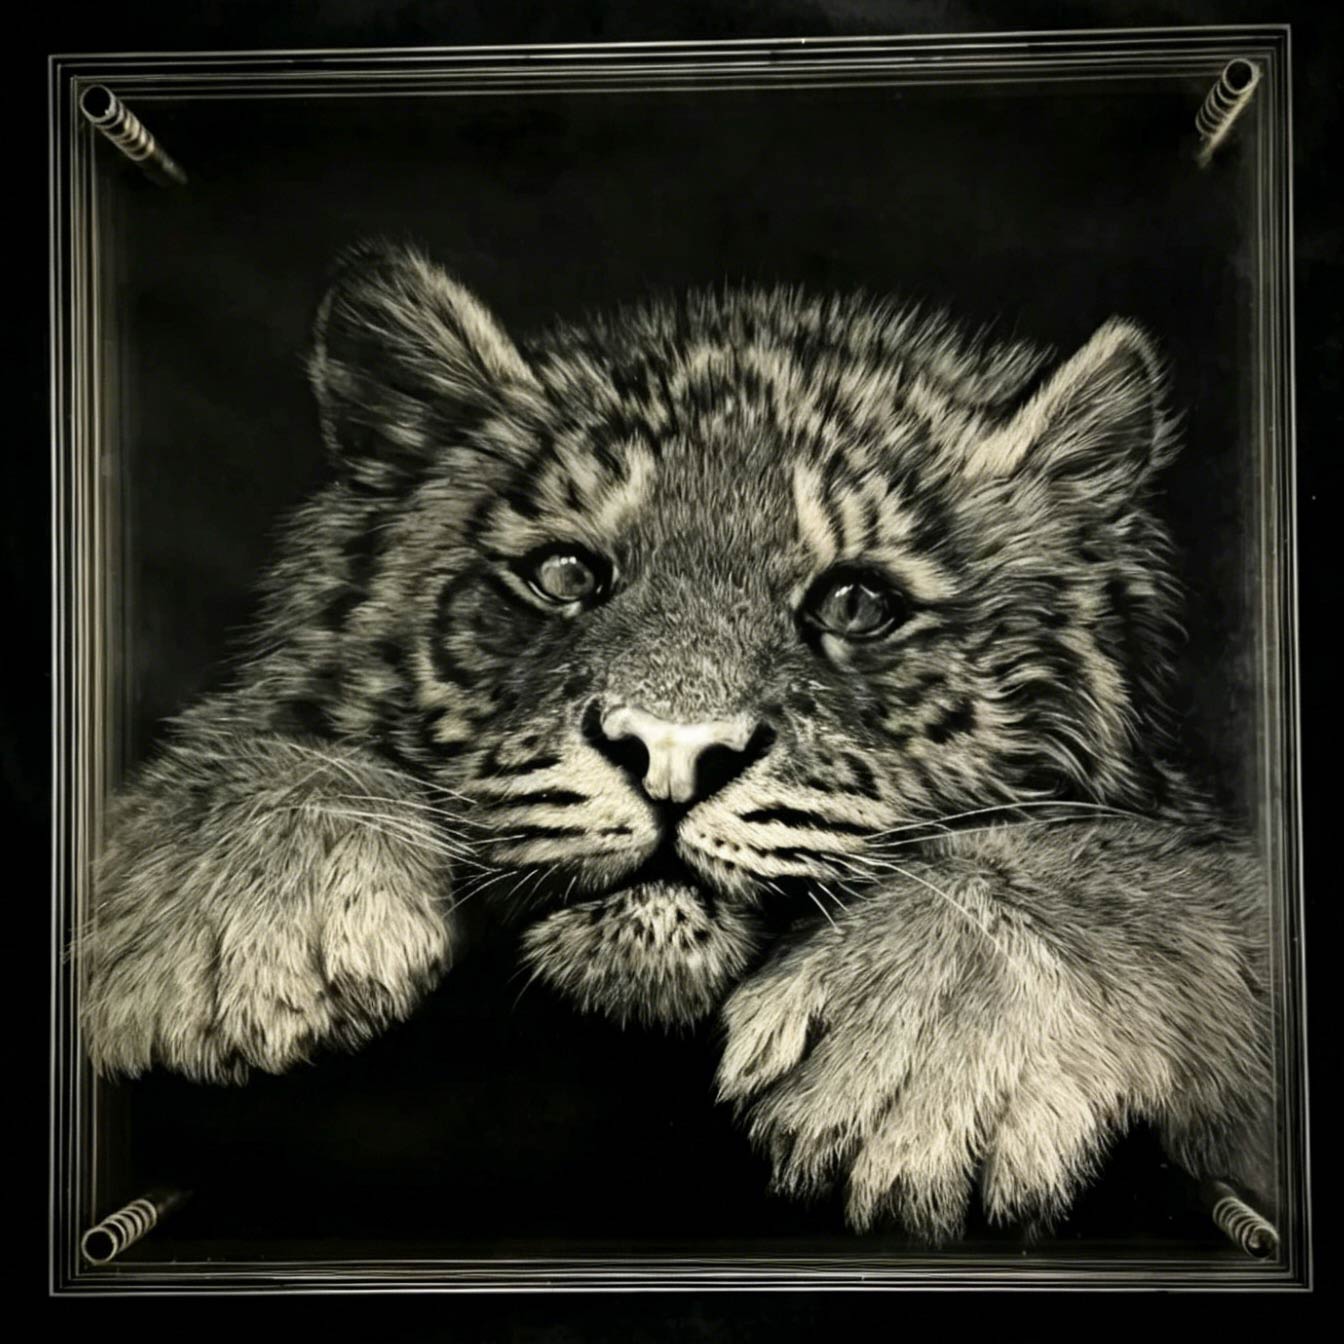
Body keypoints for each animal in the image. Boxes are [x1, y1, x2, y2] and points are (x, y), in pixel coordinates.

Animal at [80, 240, 1274, 1244]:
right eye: (565, 574)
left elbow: (1148, 875)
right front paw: (240, 928)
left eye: (856, 604)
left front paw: (923, 1059)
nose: (669, 753)